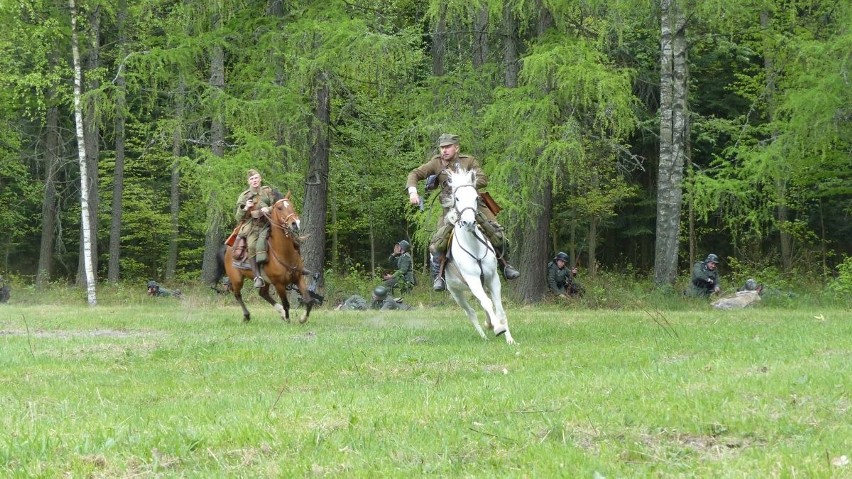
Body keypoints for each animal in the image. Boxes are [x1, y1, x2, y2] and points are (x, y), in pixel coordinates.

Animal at [220, 193, 312, 324]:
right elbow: (286, 304)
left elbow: (308, 300)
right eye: (279, 208)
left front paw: (303, 318)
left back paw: (280, 312)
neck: (284, 252)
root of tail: (228, 249)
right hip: (236, 279)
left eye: (291, 205)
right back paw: (247, 315)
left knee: (262, 293)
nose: (296, 223)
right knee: (237, 294)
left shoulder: (298, 278)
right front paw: (288, 320)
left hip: (266, 281)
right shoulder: (279, 284)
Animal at [446, 169, 512, 344]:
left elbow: (499, 309)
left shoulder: (493, 279)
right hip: (456, 293)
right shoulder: (473, 280)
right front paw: (497, 328)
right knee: (471, 312)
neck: (474, 248)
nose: (469, 222)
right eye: (457, 198)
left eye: (476, 197)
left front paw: (510, 339)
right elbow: (487, 303)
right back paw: (484, 335)